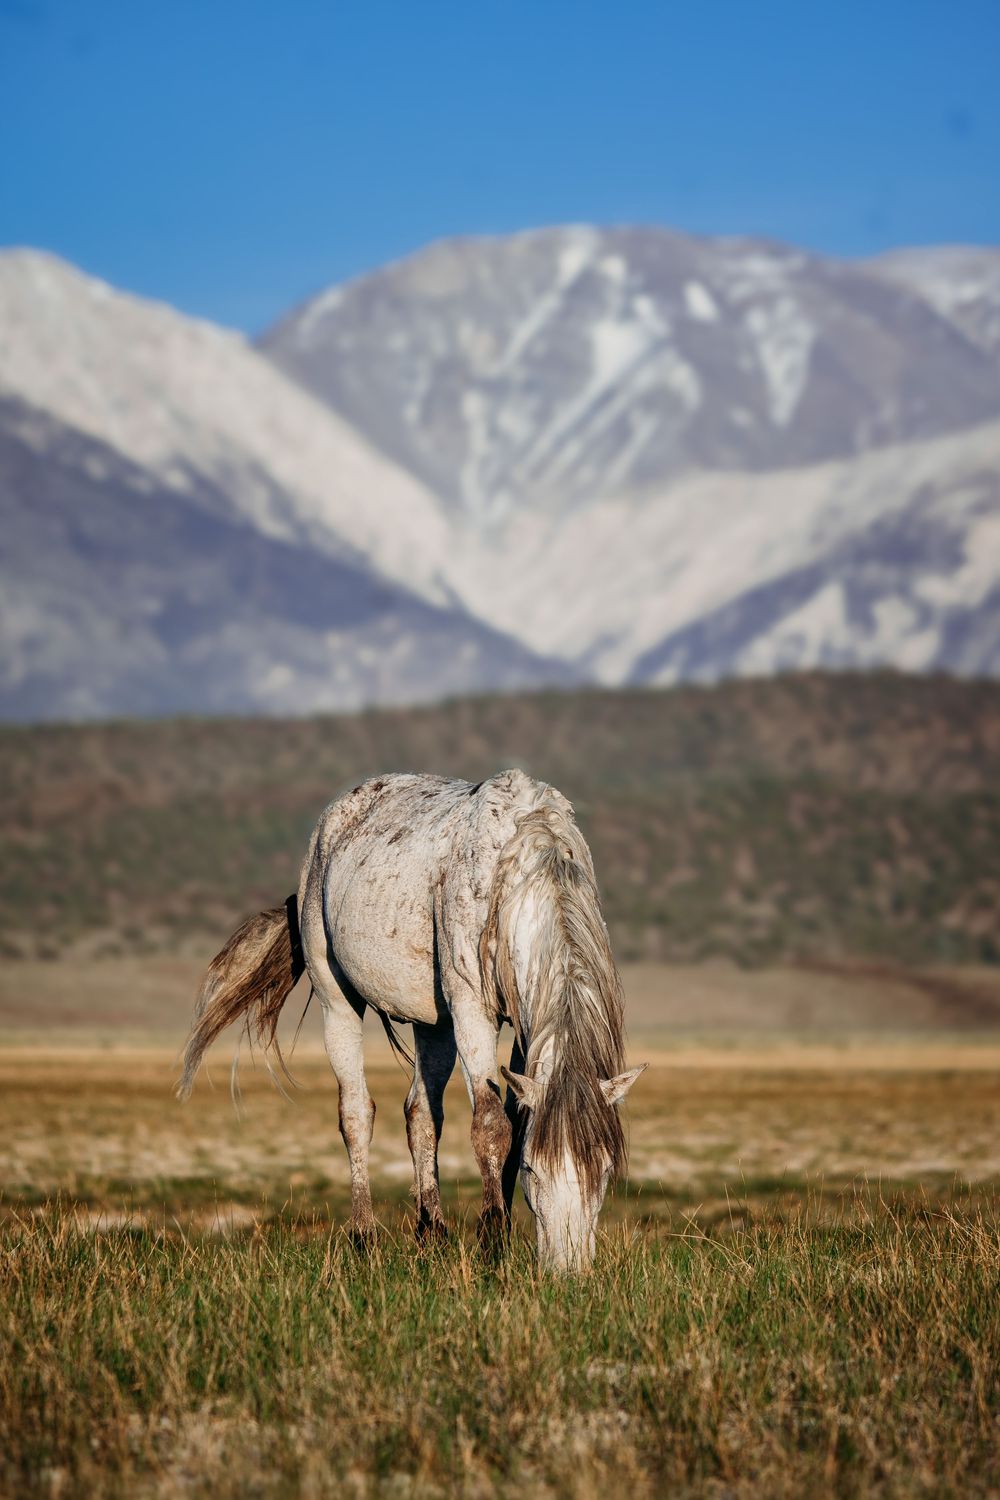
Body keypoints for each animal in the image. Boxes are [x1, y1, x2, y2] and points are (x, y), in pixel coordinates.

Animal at [178, 768, 645, 1271]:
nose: (567, 1270)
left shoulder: (521, 1027)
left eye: (604, 1172)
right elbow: (491, 1125)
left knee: (421, 1114)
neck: (517, 864)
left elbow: (511, 1121)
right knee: (356, 1113)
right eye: (533, 1171)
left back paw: (432, 1234)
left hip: (433, 1024)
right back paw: (364, 1238)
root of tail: (335, 816)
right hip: (337, 999)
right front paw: (492, 1245)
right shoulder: (471, 1010)